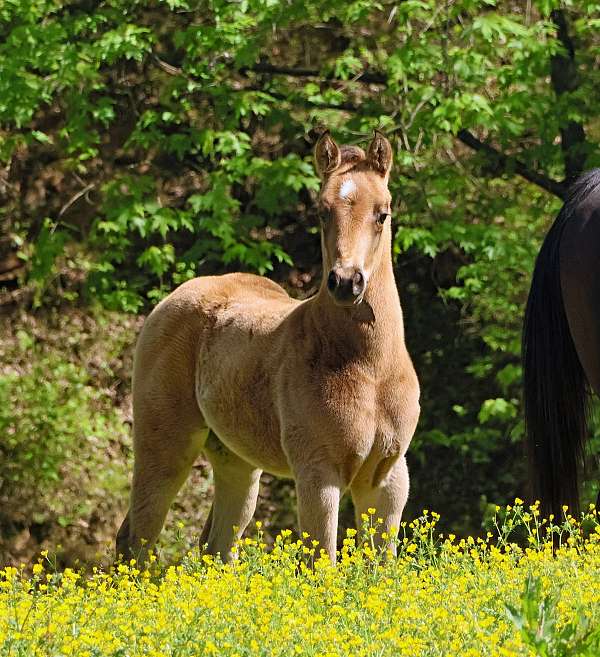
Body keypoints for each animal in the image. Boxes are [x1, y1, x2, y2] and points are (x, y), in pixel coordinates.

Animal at [116, 131, 420, 563]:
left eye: (383, 213)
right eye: (322, 211)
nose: (347, 282)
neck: (370, 369)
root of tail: (180, 293)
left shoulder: (388, 479)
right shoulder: (317, 473)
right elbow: (323, 561)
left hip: (237, 462)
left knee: (216, 547)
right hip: (165, 444)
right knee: (138, 538)